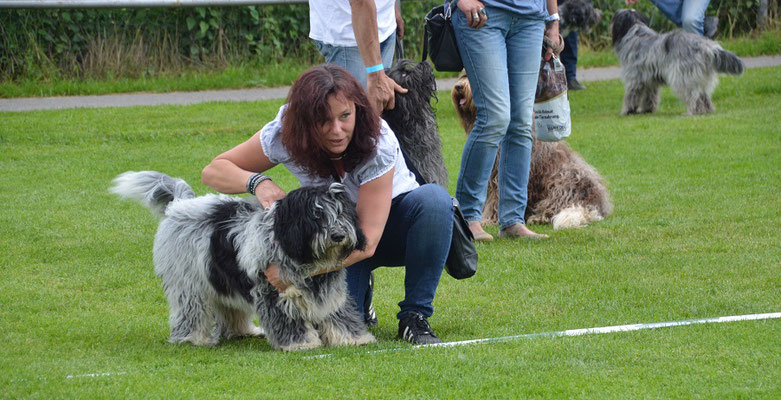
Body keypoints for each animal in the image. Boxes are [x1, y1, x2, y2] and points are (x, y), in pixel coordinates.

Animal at [110, 170, 374, 352]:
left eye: (341, 212)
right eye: (317, 215)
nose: (338, 235)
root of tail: (180, 204)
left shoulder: (328, 290)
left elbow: (338, 314)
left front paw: (353, 338)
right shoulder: (274, 291)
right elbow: (289, 319)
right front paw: (300, 343)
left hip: (221, 279)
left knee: (229, 309)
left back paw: (242, 332)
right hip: (188, 282)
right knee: (190, 310)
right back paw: (192, 338)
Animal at [450, 76, 616, 230]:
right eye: (463, 75)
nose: (459, 87)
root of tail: (594, 206)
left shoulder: (499, 175)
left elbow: (495, 199)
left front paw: (487, 220)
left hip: (562, 181)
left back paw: (538, 217)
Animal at [608, 8, 744, 115]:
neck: (636, 32)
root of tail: (707, 47)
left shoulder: (634, 78)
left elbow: (631, 96)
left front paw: (628, 110)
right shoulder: (650, 80)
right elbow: (649, 96)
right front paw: (647, 110)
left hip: (683, 76)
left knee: (693, 96)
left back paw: (692, 112)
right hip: (698, 77)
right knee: (703, 96)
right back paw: (705, 110)